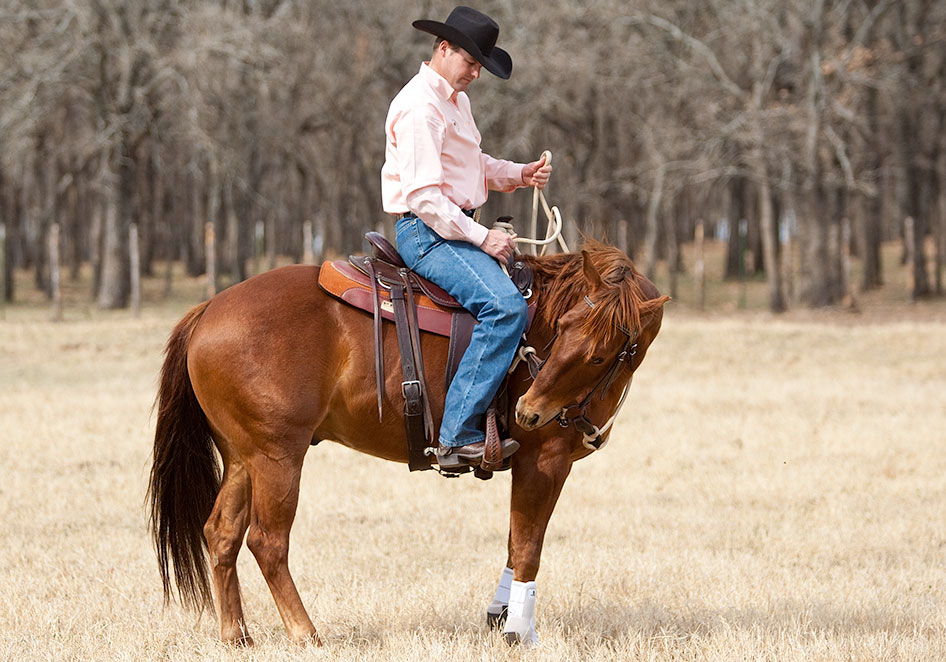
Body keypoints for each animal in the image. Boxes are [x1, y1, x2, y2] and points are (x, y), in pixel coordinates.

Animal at [148, 240, 668, 648]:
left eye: (598, 354)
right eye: (562, 329)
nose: (528, 410)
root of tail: (208, 311)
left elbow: (512, 541)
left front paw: (498, 617)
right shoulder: (545, 462)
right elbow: (526, 547)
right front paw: (520, 631)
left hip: (242, 458)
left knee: (221, 534)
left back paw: (236, 636)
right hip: (278, 458)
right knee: (267, 541)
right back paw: (305, 633)